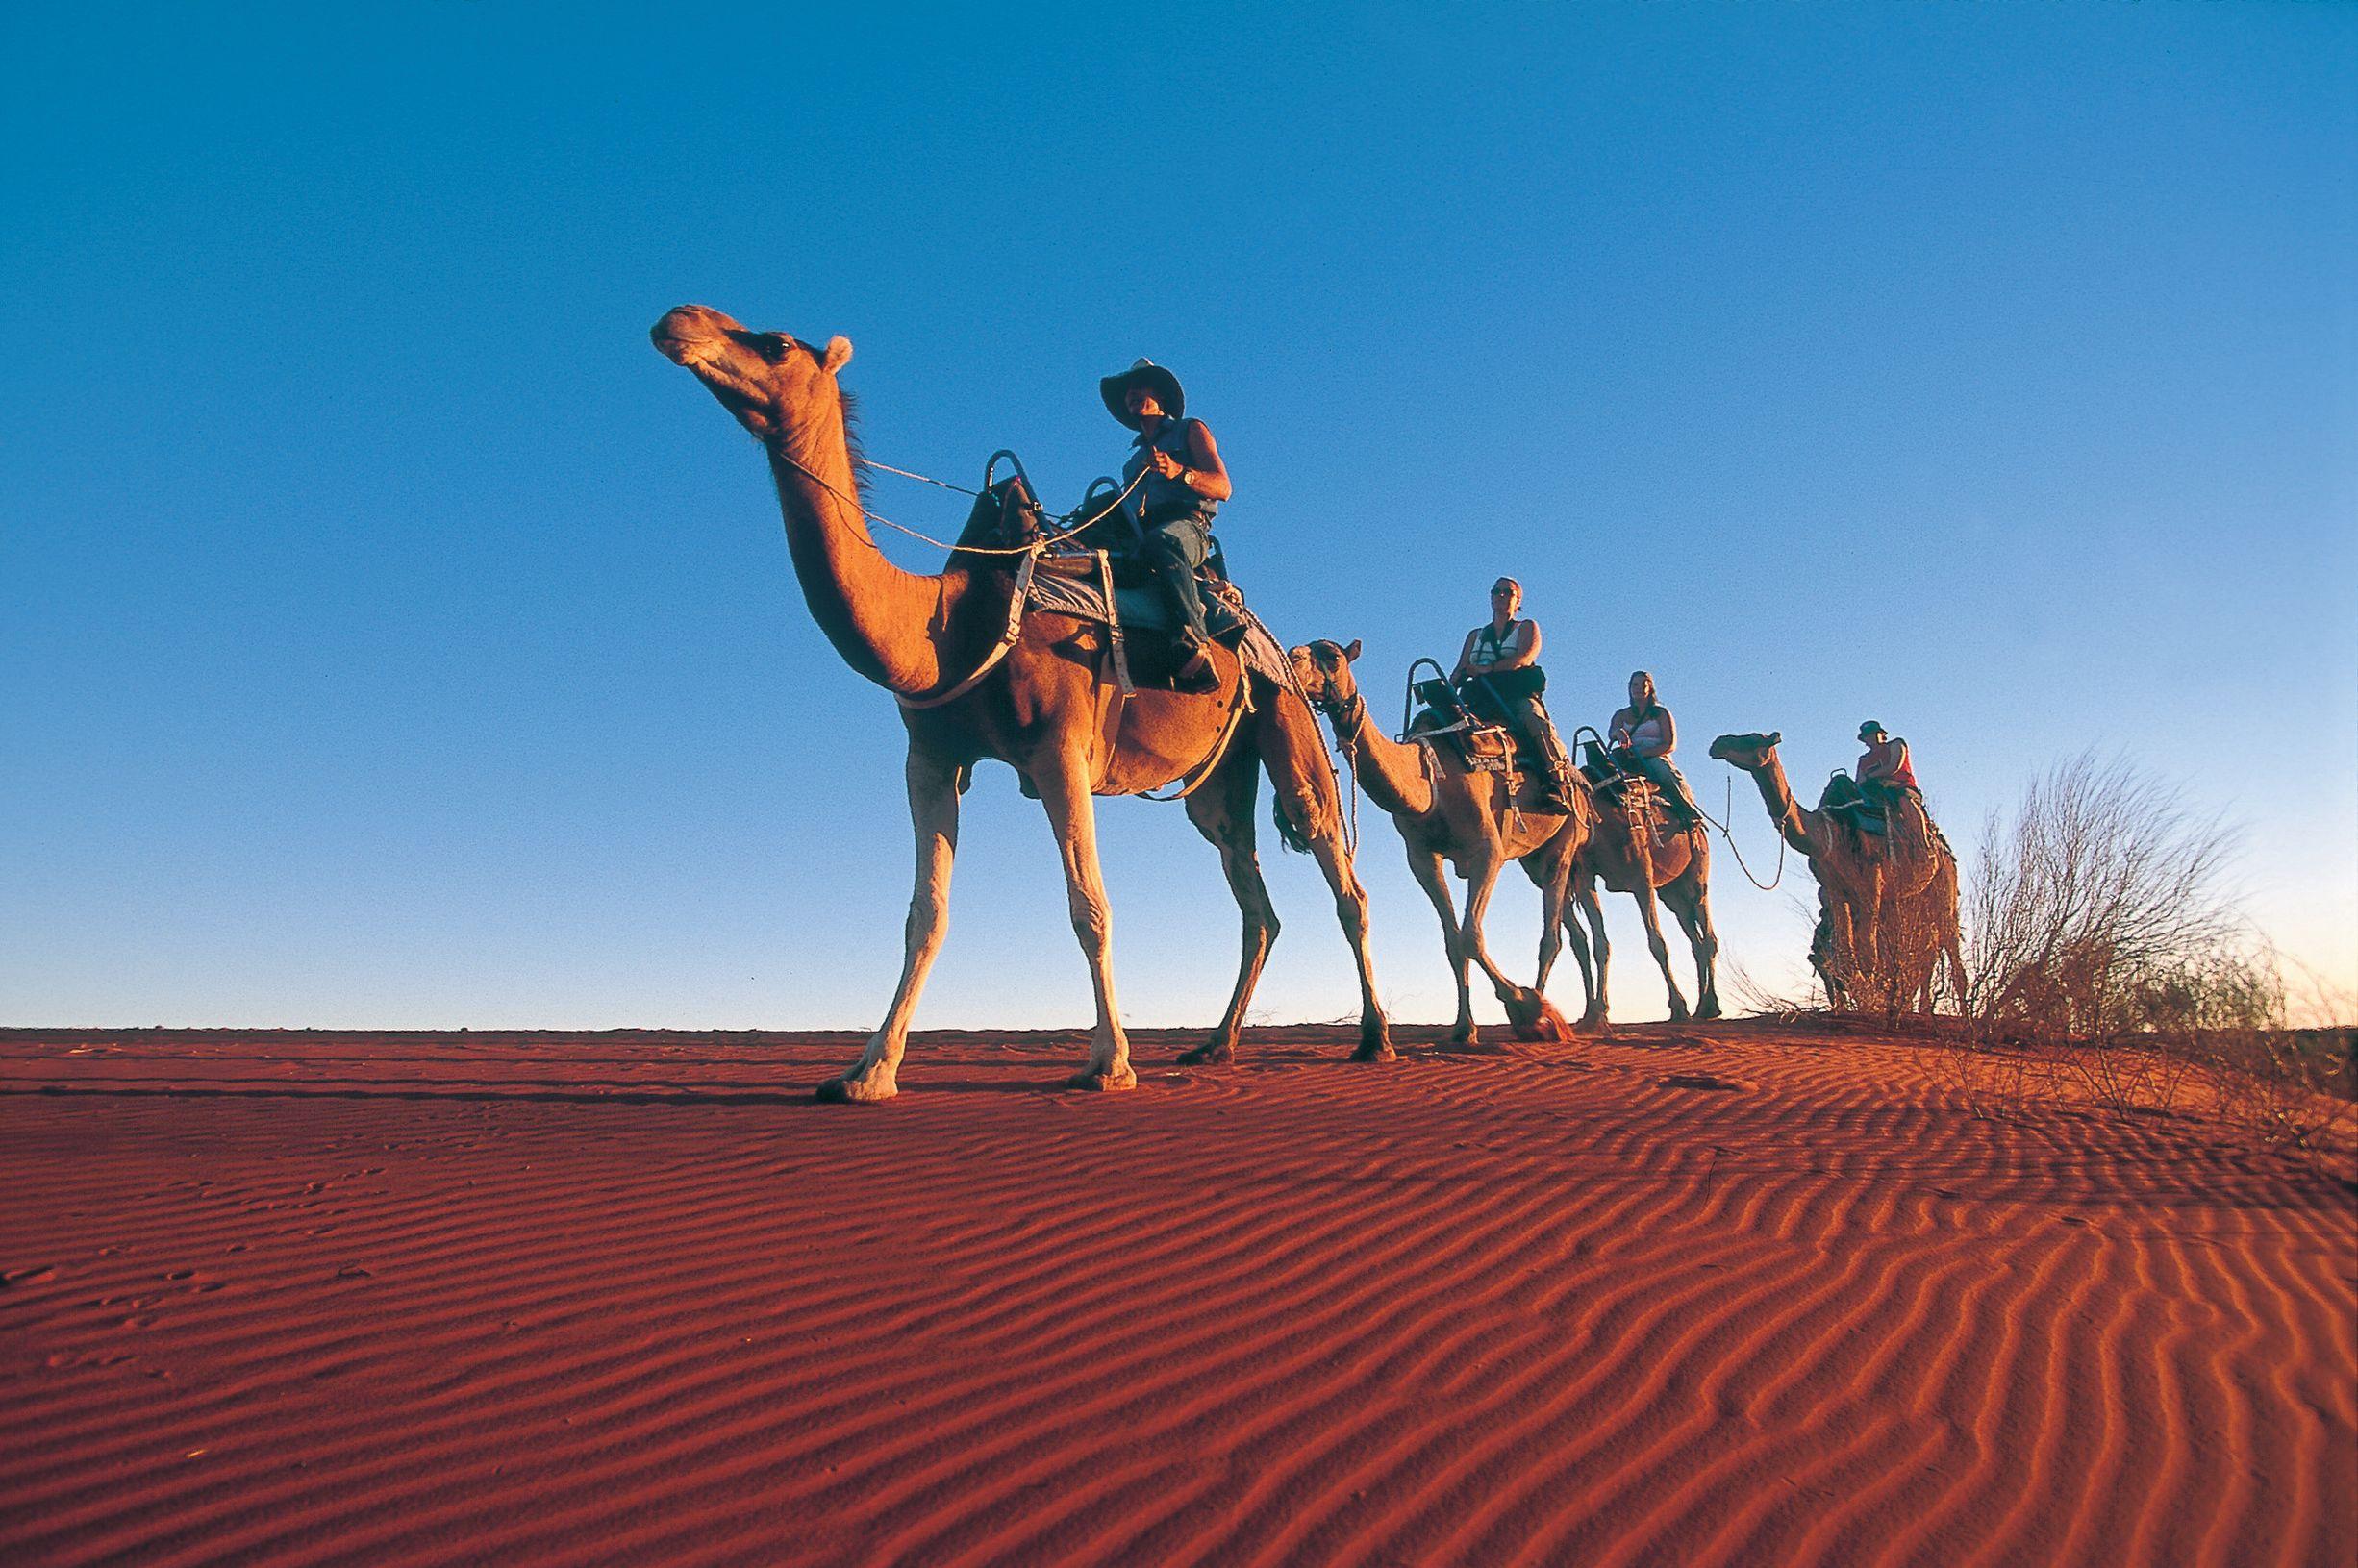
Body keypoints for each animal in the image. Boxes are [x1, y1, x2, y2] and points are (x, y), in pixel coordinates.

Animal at [645, 299, 1386, 1094]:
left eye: (777, 342)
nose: (677, 320)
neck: (950, 622)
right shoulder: (930, 757)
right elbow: (925, 913)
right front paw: (869, 1071)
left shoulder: (1059, 751)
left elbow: (1089, 905)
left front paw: (1110, 1063)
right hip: (1218, 778)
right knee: (1253, 897)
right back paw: (1215, 1045)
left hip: (1285, 722)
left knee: (1339, 872)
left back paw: (1374, 1039)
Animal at [1292, 641, 1584, 1046]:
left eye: (1333, 656)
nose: (1292, 657)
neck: (1430, 781)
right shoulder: (1423, 858)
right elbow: (1453, 942)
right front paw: (1464, 1029)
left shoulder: (1488, 850)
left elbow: (1471, 937)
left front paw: (1526, 1008)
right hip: (1532, 859)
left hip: (1564, 842)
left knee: (1550, 937)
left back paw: (1544, 1017)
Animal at [1707, 726, 1962, 1008]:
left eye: (1752, 738)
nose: (1718, 743)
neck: (1826, 834)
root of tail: (1946, 851)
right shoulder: (1836, 890)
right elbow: (1845, 957)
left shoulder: (1872, 883)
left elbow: (1868, 957)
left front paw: (1874, 1005)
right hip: (1911, 898)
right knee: (1925, 951)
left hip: (1944, 885)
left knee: (1949, 948)